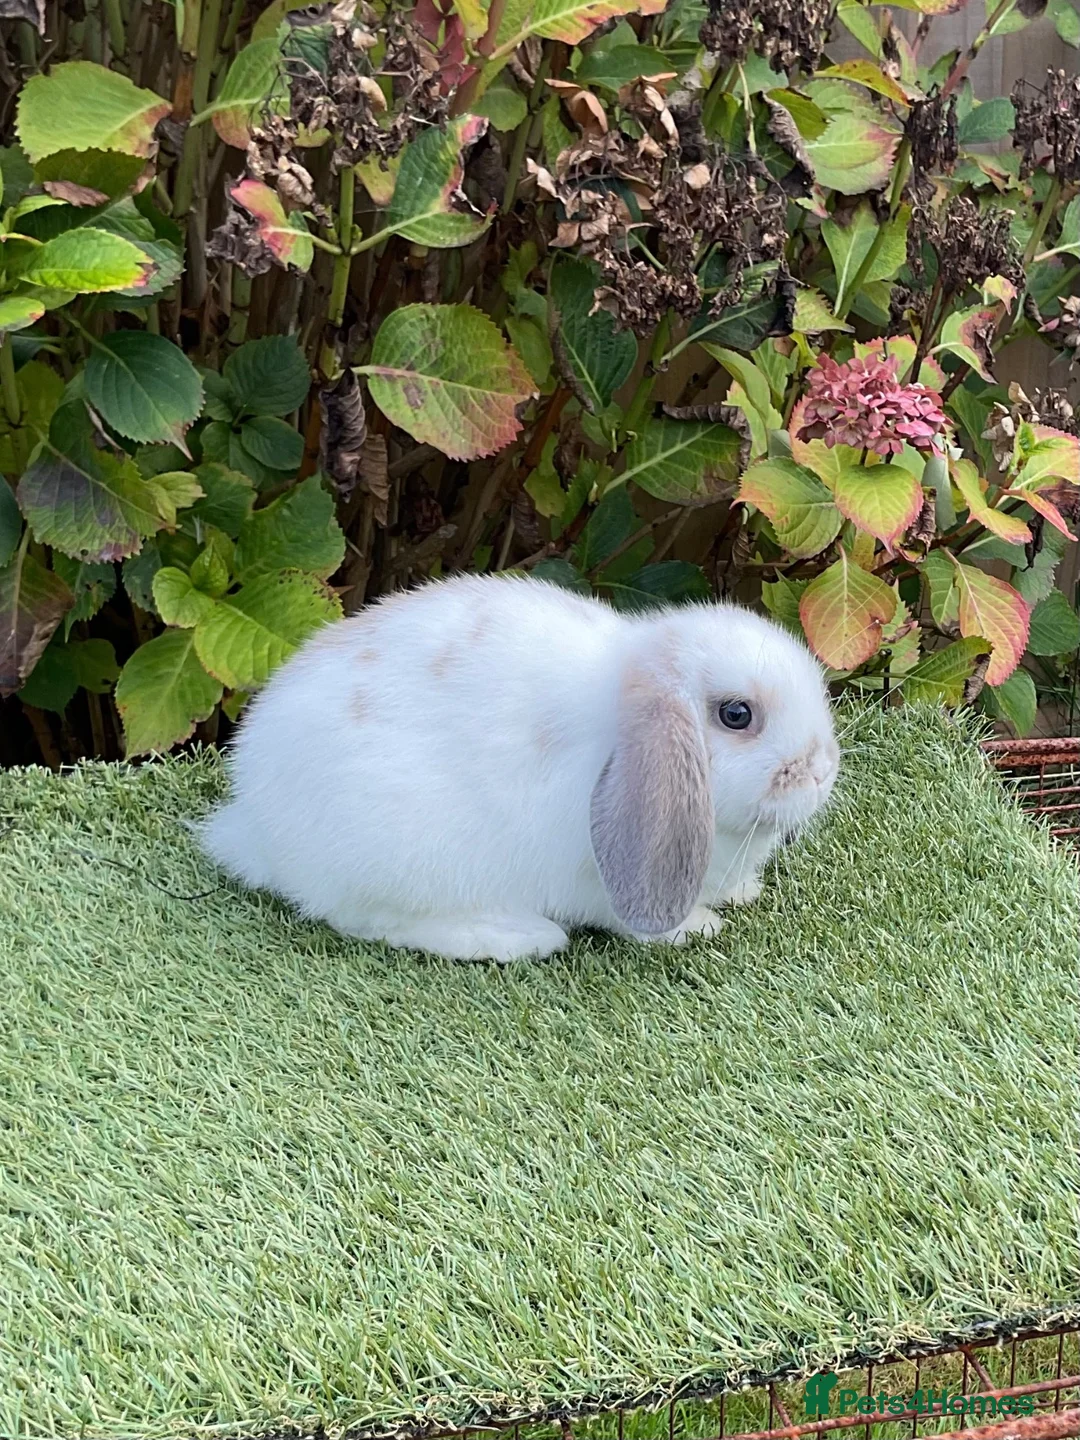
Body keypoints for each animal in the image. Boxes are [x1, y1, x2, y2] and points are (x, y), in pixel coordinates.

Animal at [200, 573, 840, 963]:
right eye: (736, 714)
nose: (821, 769)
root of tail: (253, 825)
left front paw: (743, 891)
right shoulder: (598, 881)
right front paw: (698, 926)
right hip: (407, 859)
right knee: (372, 920)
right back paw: (518, 936)